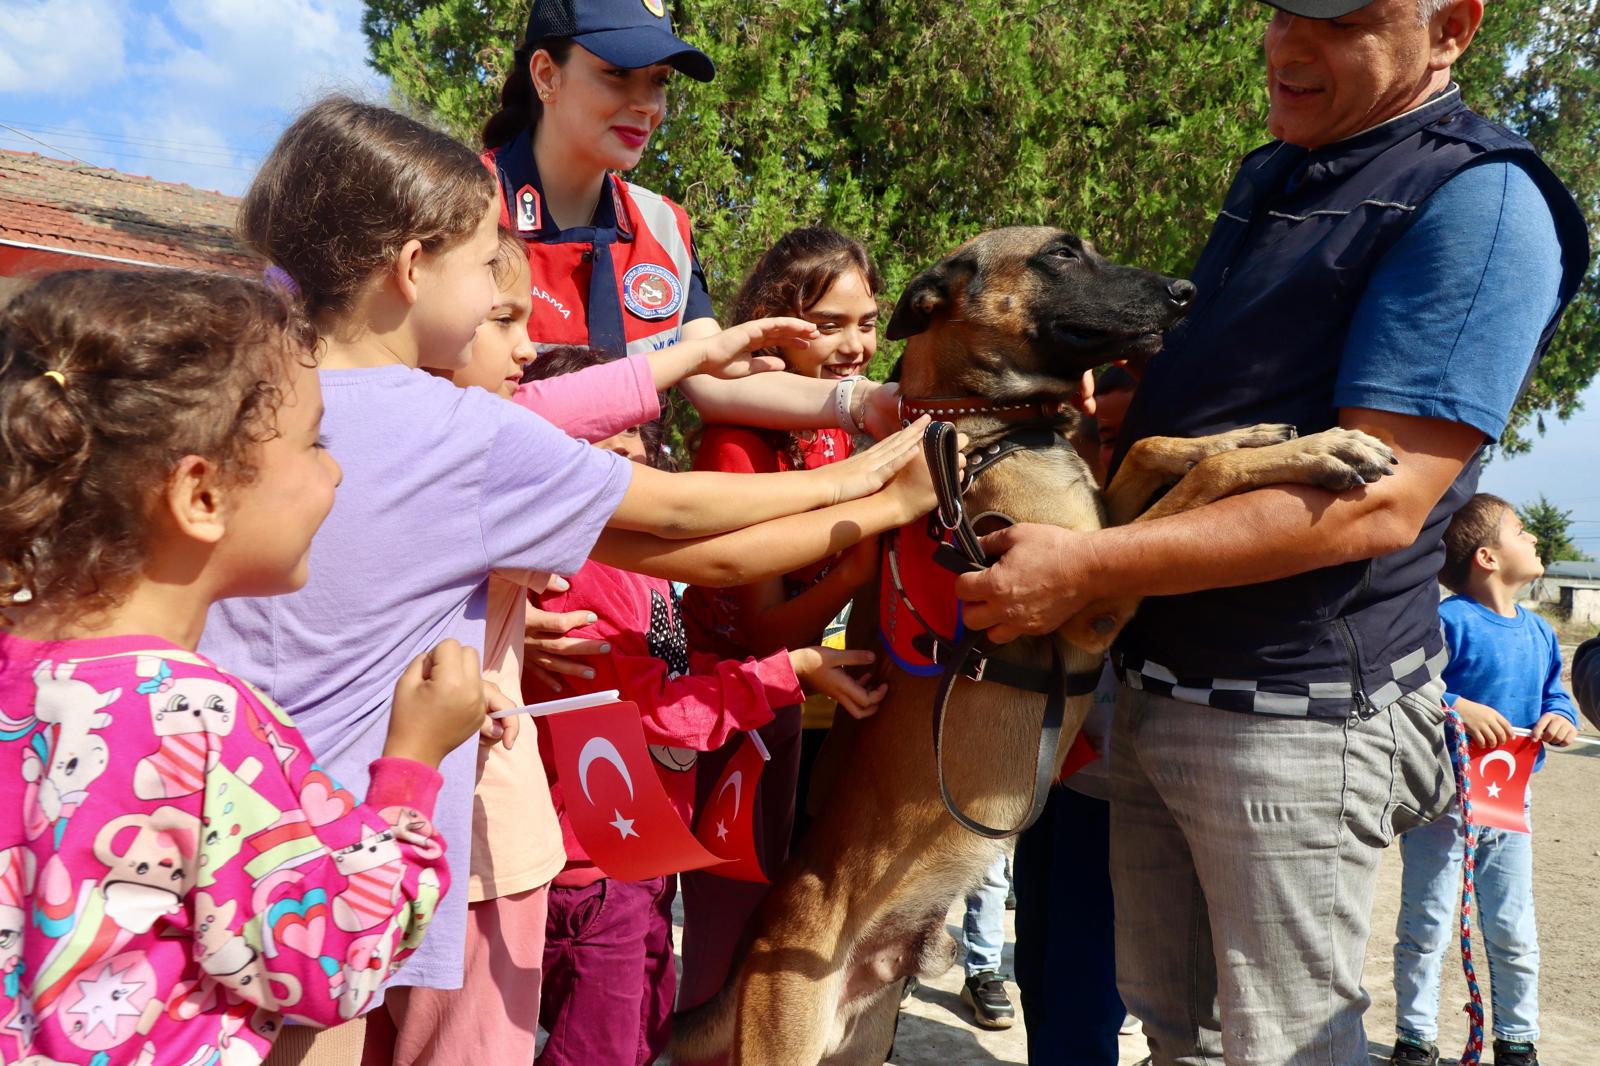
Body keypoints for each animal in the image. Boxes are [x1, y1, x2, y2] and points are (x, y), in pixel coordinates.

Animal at [675, 225, 1401, 1062]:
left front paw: (1249, 432)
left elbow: (1152, 448)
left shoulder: (1104, 530)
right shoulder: (1087, 603)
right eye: (1060, 254)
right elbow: (1206, 480)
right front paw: (1322, 449)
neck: (984, 425)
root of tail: (749, 958)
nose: (1185, 289)